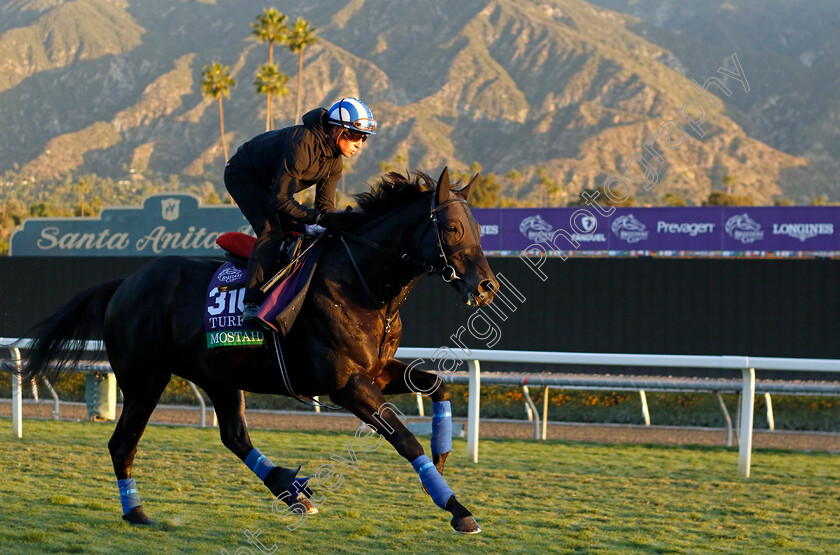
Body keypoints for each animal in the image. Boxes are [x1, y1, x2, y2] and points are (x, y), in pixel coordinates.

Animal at [19, 168, 498, 536]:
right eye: (452, 228)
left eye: (479, 229)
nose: (487, 286)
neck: (359, 284)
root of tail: (124, 284)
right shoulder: (346, 384)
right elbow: (403, 439)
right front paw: (458, 510)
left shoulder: (377, 370)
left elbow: (436, 385)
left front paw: (443, 450)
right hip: (145, 380)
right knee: (122, 445)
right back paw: (136, 512)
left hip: (218, 376)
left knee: (234, 436)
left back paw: (292, 493)